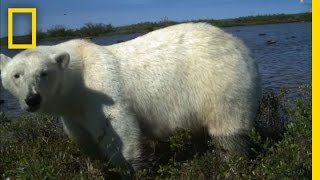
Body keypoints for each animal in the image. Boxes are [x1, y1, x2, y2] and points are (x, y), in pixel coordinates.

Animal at [0, 22, 260, 174]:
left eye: (43, 73)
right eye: (16, 75)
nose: (32, 99)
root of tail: (240, 44)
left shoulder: (102, 91)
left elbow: (119, 133)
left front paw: (132, 168)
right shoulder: (73, 113)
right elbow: (85, 141)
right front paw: (95, 167)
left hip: (220, 81)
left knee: (228, 129)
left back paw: (231, 163)